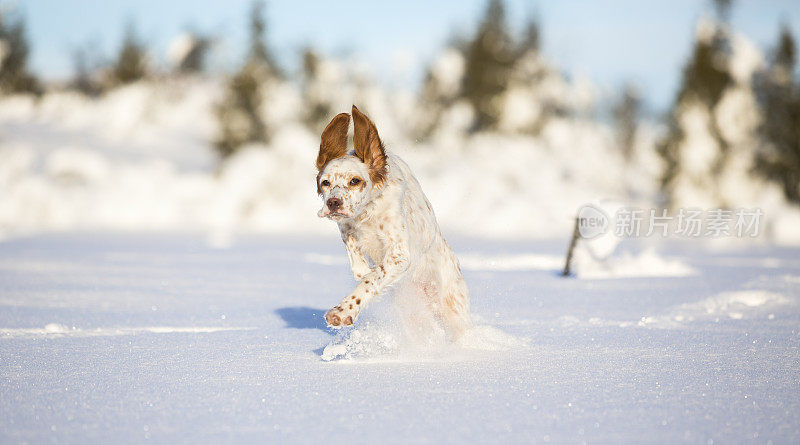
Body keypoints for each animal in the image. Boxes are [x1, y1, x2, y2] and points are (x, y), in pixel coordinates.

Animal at [316, 106, 472, 338]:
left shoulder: (399, 255)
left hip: (453, 310)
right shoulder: (346, 227)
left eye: (355, 181)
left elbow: (371, 278)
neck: (368, 211)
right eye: (325, 182)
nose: (333, 203)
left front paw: (343, 311)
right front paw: (362, 269)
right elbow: (359, 265)